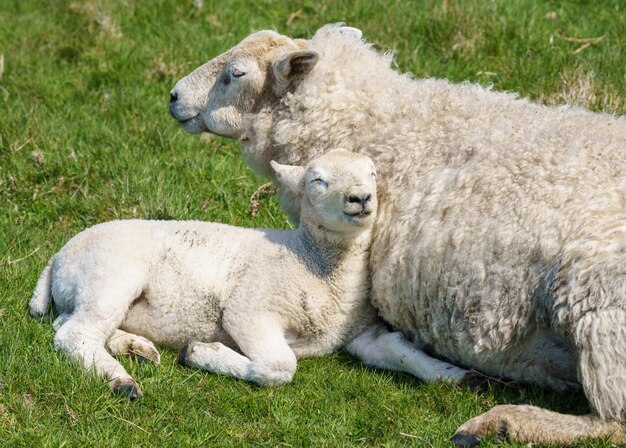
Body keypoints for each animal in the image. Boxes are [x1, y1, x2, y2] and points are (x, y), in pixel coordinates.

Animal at [28, 150, 472, 400]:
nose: (360, 199)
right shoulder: (249, 310)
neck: (315, 266)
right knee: (74, 335)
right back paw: (121, 380)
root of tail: (59, 255)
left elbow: (399, 349)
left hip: (90, 290)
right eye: (317, 180)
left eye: (373, 174)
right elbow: (280, 366)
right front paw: (200, 353)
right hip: (111, 273)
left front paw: (454, 375)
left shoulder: (361, 335)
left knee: (73, 326)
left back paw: (135, 348)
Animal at [168, 23, 624, 444]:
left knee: (611, 422)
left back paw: (503, 422)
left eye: (236, 74)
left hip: (600, 318)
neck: (375, 123)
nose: (172, 96)